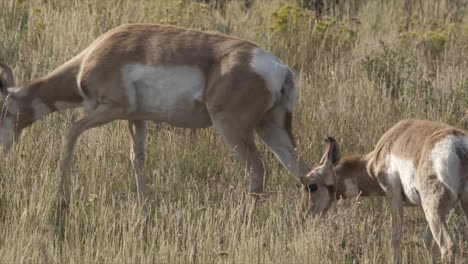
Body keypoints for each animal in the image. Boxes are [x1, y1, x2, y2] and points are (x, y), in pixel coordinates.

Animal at [0, 23, 310, 229]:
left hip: (232, 129)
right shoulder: (136, 118)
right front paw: (144, 212)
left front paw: (61, 203)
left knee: (258, 170)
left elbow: (71, 132)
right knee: (304, 172)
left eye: (3, 110)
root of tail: (280, 68)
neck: (92, 58)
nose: (2, 149)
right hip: (272, 130)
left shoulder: (112, 109)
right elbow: (137, 158)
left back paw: (241, 222)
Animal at [300, 120, 468, 264]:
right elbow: (427, 241)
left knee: (448, 247)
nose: (304, 216)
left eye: (311, 186)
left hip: (433, 209)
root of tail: (459, 146)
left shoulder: (394, 196)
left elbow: (395, 237)